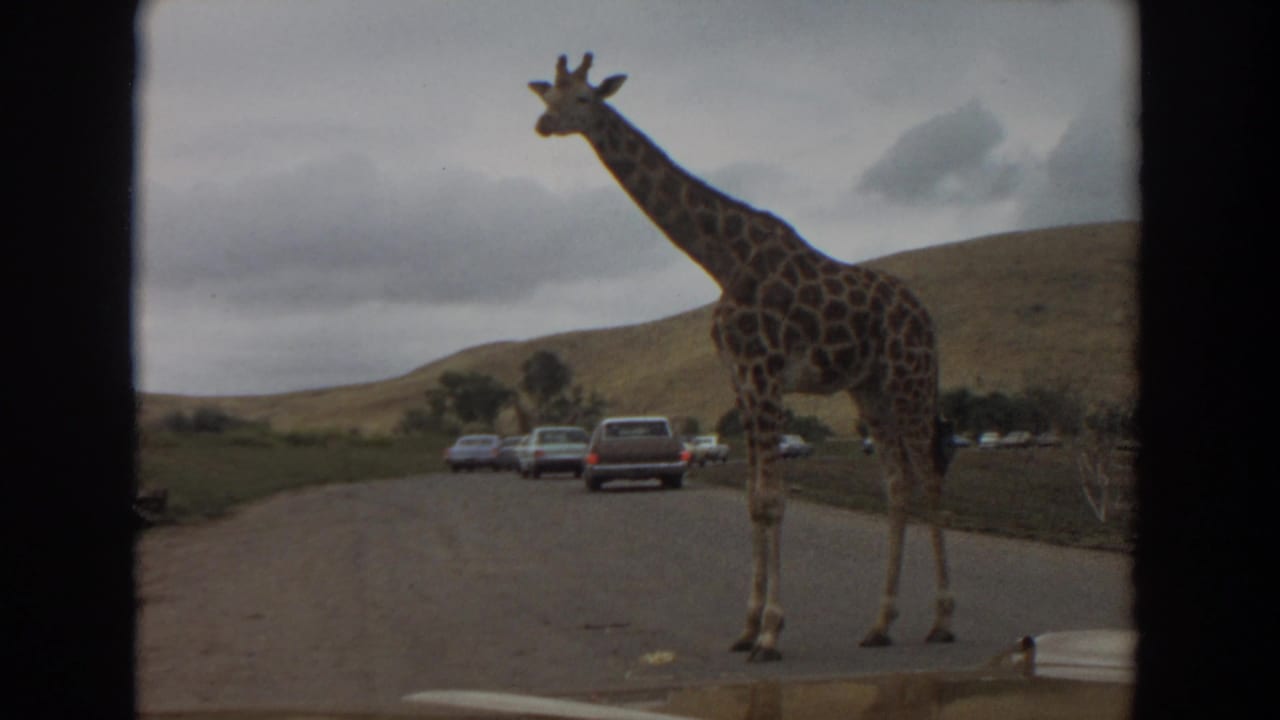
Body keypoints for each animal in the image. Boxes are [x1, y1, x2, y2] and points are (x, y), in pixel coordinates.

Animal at [528, 53, 956, 660]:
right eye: (548, 97)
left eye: (584, 98)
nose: (544, 125)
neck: (722, 260)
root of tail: (926, 317)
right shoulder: (742, 381)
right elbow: (755, 500)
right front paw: (749, 626)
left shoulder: (766, 375)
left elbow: (773, 500)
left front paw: (772, 631)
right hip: (869, 387)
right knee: (898, 483)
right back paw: (880, 624)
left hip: (910, 378)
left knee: (930, 475)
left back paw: (942, 619)